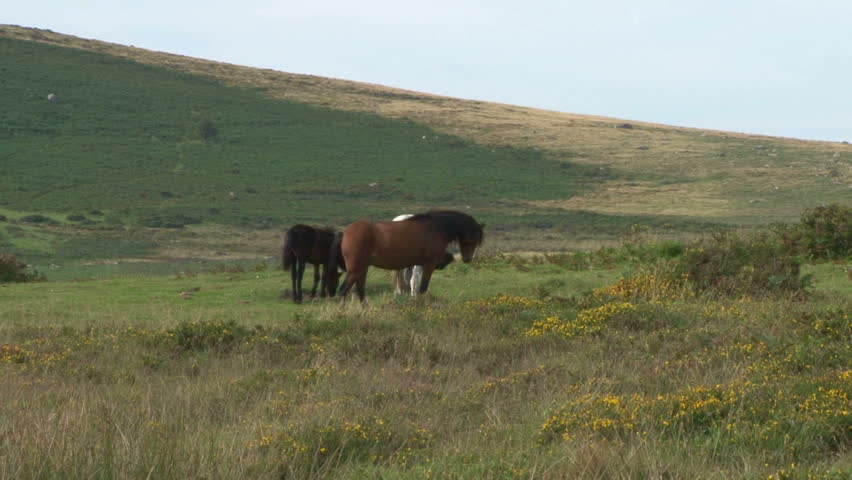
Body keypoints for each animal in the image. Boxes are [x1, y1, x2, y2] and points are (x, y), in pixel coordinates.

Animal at [331, 210, 484, 303]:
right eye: (474, 237)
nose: (467, 259)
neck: (435, 228)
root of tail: (345, 232)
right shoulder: (428, 263)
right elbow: (421, 285)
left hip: (362, 268)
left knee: (358, 289)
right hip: (357, 268)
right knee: (346, 289)